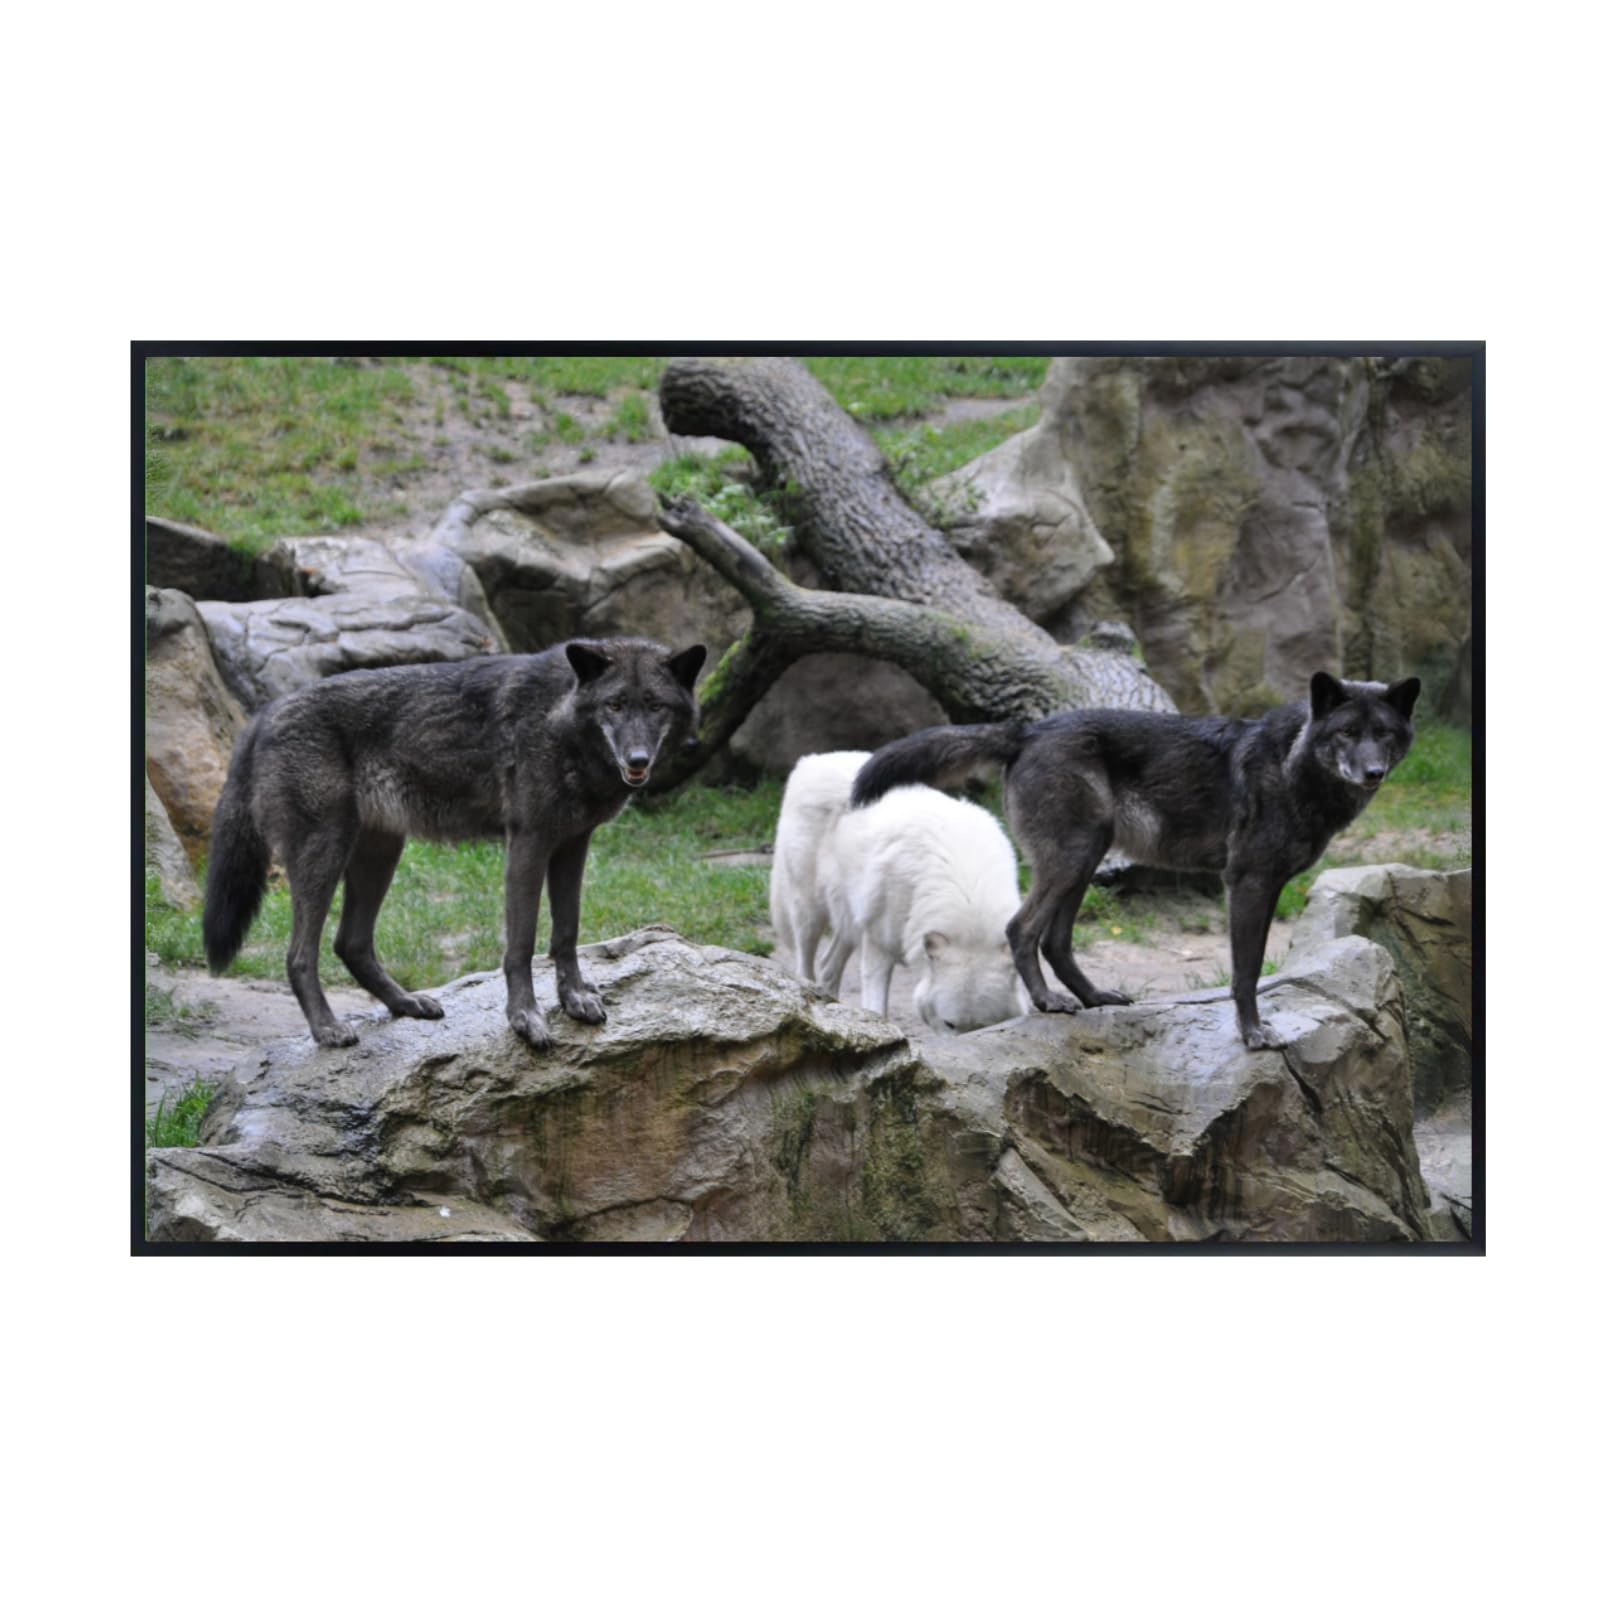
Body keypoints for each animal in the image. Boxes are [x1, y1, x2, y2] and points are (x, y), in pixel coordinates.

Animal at [203, 637, 706, 1049]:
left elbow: (566, 932)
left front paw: (575, 999)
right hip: (323, 855)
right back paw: (328, 1030)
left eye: (655, 706)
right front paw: (525, 1019)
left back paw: (405, 1004)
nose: (637, 760)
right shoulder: (528, 842)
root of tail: (264, 713)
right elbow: (521, 943)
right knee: (299, 955)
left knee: (350, 944)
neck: (558, 719)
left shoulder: (572, 845)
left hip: (379, 854)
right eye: (615, 705)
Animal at [770, 750, 1030, 1031]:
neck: (967, 895)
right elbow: (876, 1009)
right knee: (804, 964)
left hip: (849, 919)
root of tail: (812, 760)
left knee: (827, 965)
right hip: (809, 914)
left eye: (984, 1028)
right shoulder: (877, 947)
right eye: (950, 1024)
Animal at [851, 673, 1422, 1050]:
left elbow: (1253, 967)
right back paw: (1048, 1002)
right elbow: (1247, 972)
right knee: (1021, 929)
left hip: (1085, 859)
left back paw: (1093, 997)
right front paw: (1253, 1034)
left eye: (1385, 735)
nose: (1372, 772)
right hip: (1072, 859)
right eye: (1346, 733)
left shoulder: (1270, 884)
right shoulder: (1248, 882)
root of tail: (1027, 731)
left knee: (1056, 941)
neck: (1294, 767)